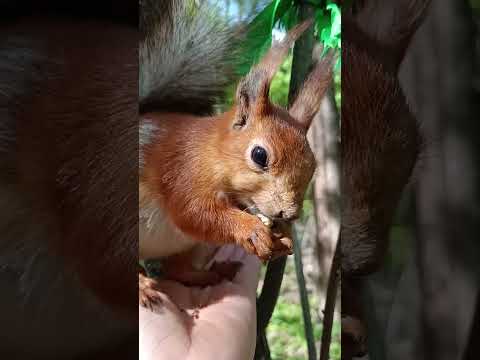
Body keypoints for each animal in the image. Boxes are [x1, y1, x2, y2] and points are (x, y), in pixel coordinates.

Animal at [138, 0, 334, 306]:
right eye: (259, 155)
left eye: (313, 165)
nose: (289, 214)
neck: (212, 153)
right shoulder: (180, 170)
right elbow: (193, 212)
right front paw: (250, 230)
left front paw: (284, 237)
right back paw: (142, 287)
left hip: (194, 247)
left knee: (176, 269)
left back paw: (207, 275)